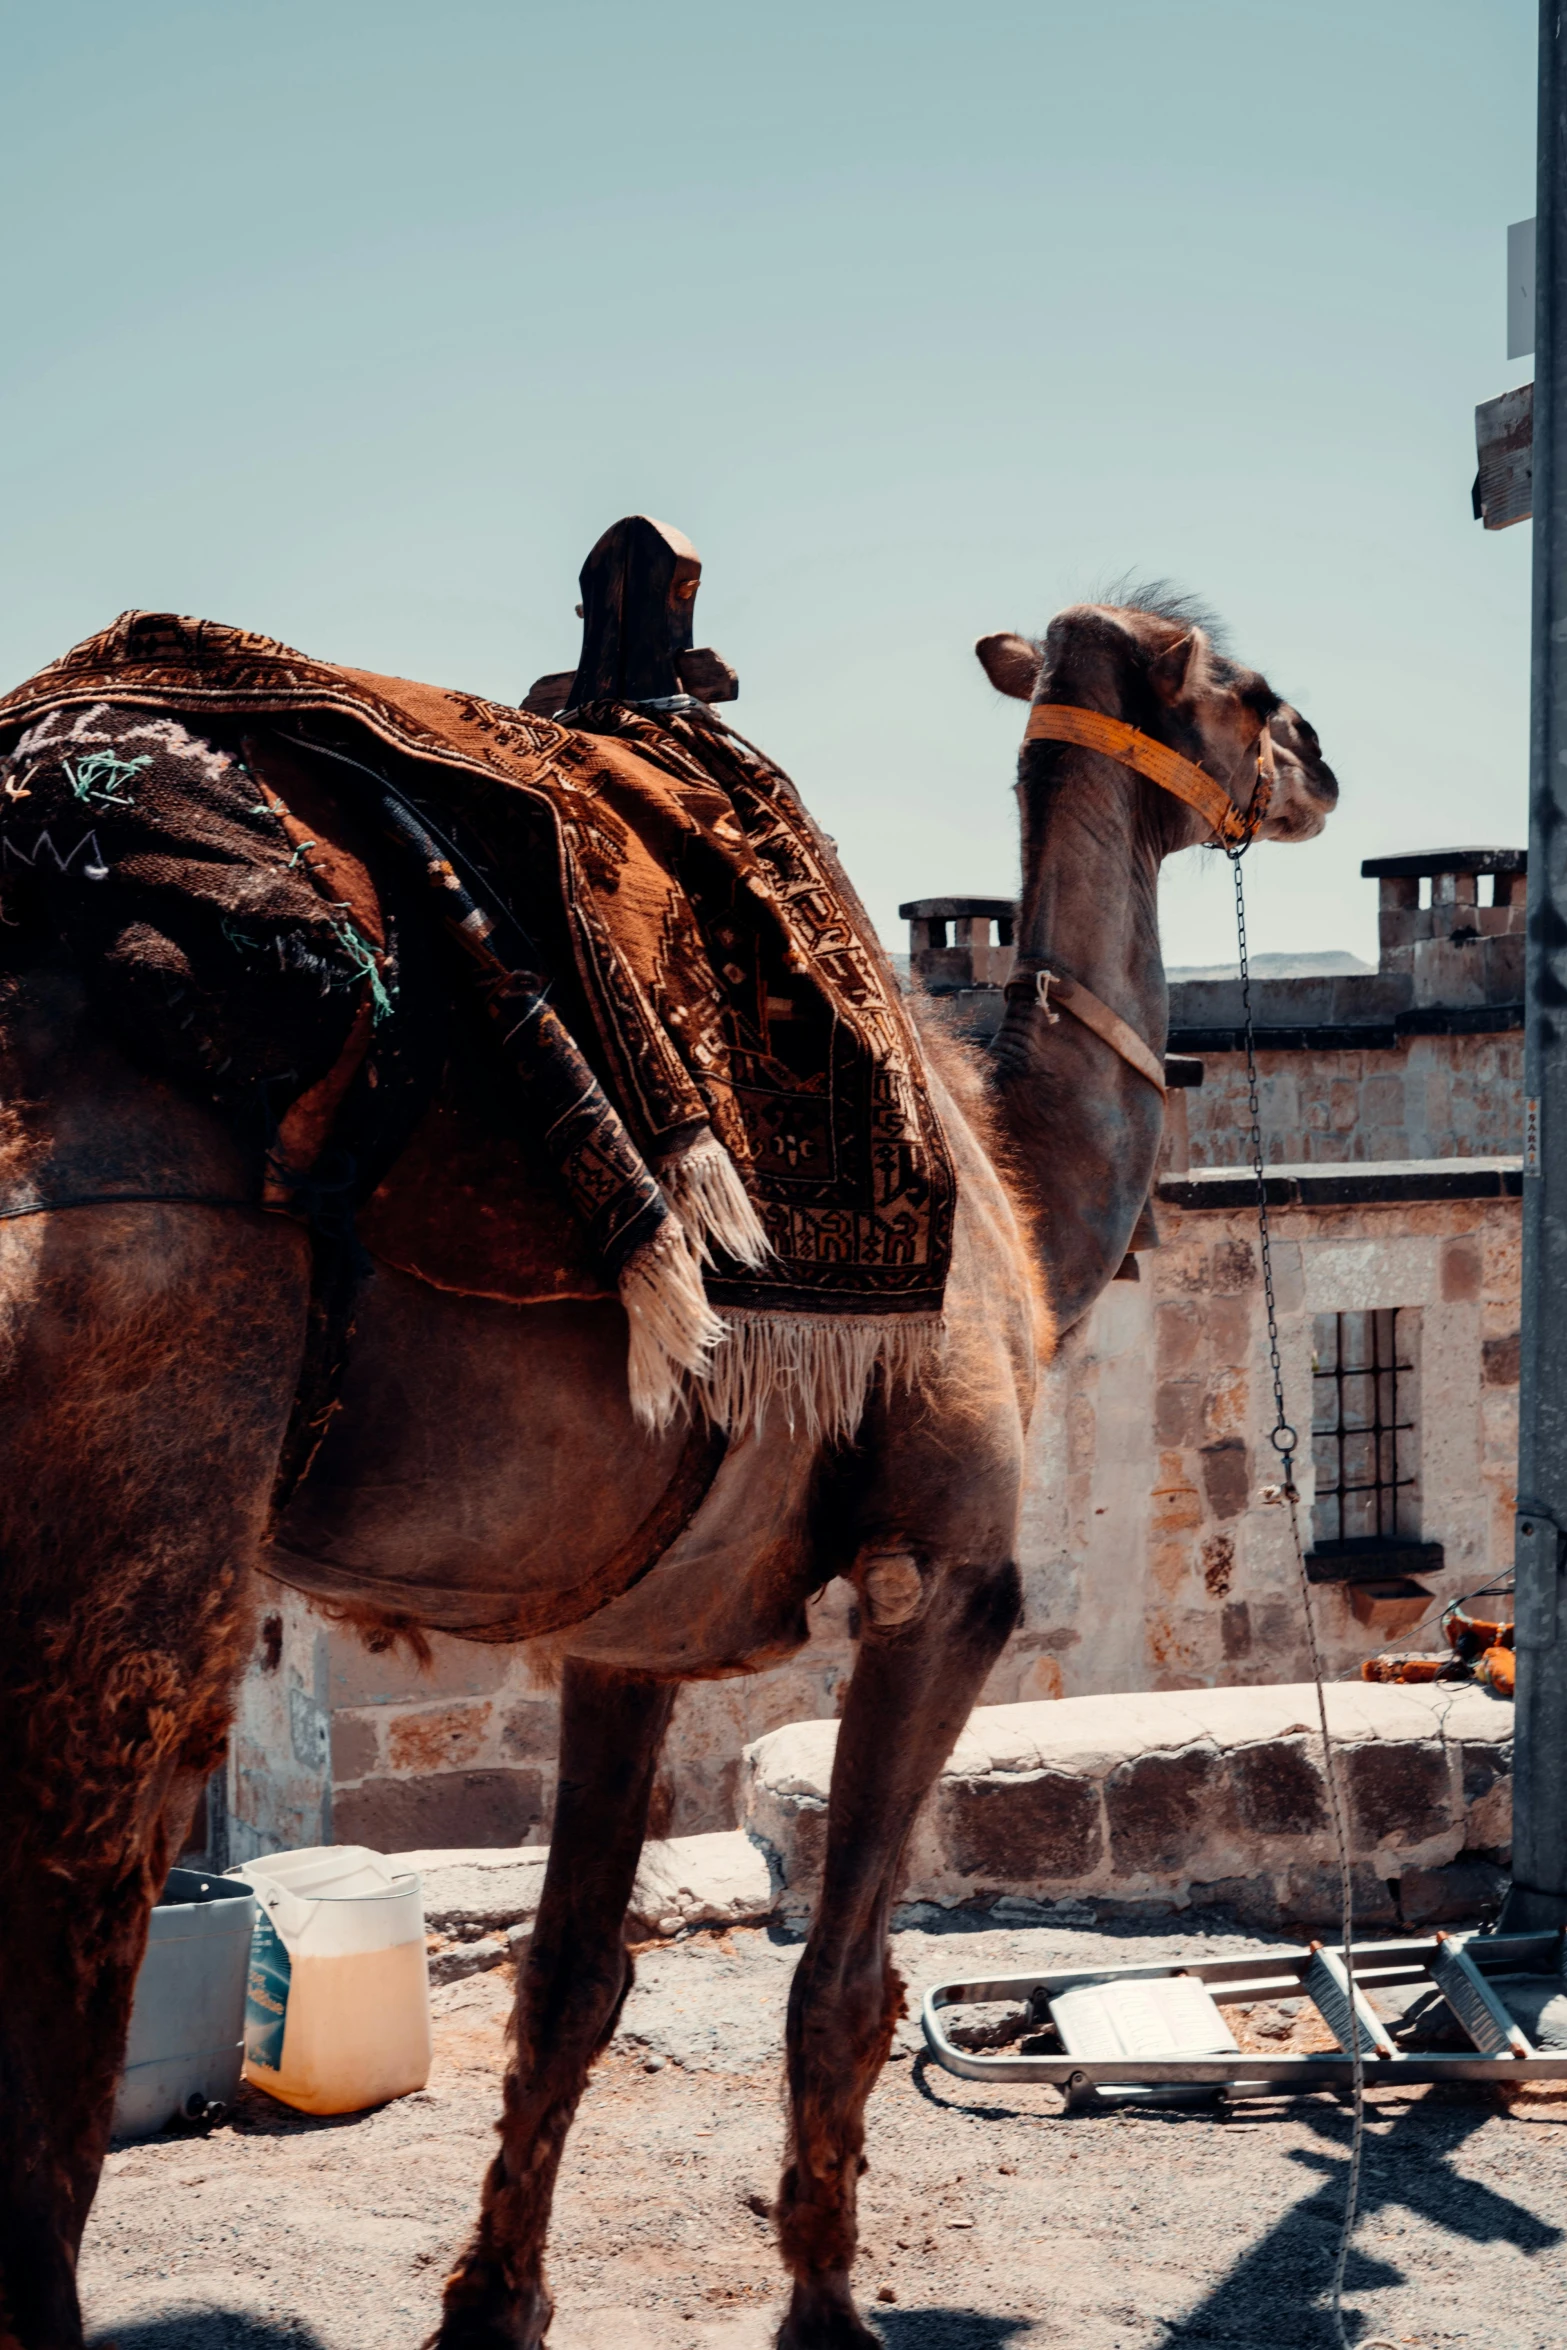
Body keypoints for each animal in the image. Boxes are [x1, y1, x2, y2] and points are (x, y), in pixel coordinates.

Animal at [0, 573, 1334, 2350]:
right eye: (1244, 691)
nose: (1318, 759)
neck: (1014, 1188)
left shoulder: (627, 1631)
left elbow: (570, 1976)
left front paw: (489, 2302)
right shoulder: (946, 1580)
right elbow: (838, 1982)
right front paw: (827, 2311)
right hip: (130, 1462)